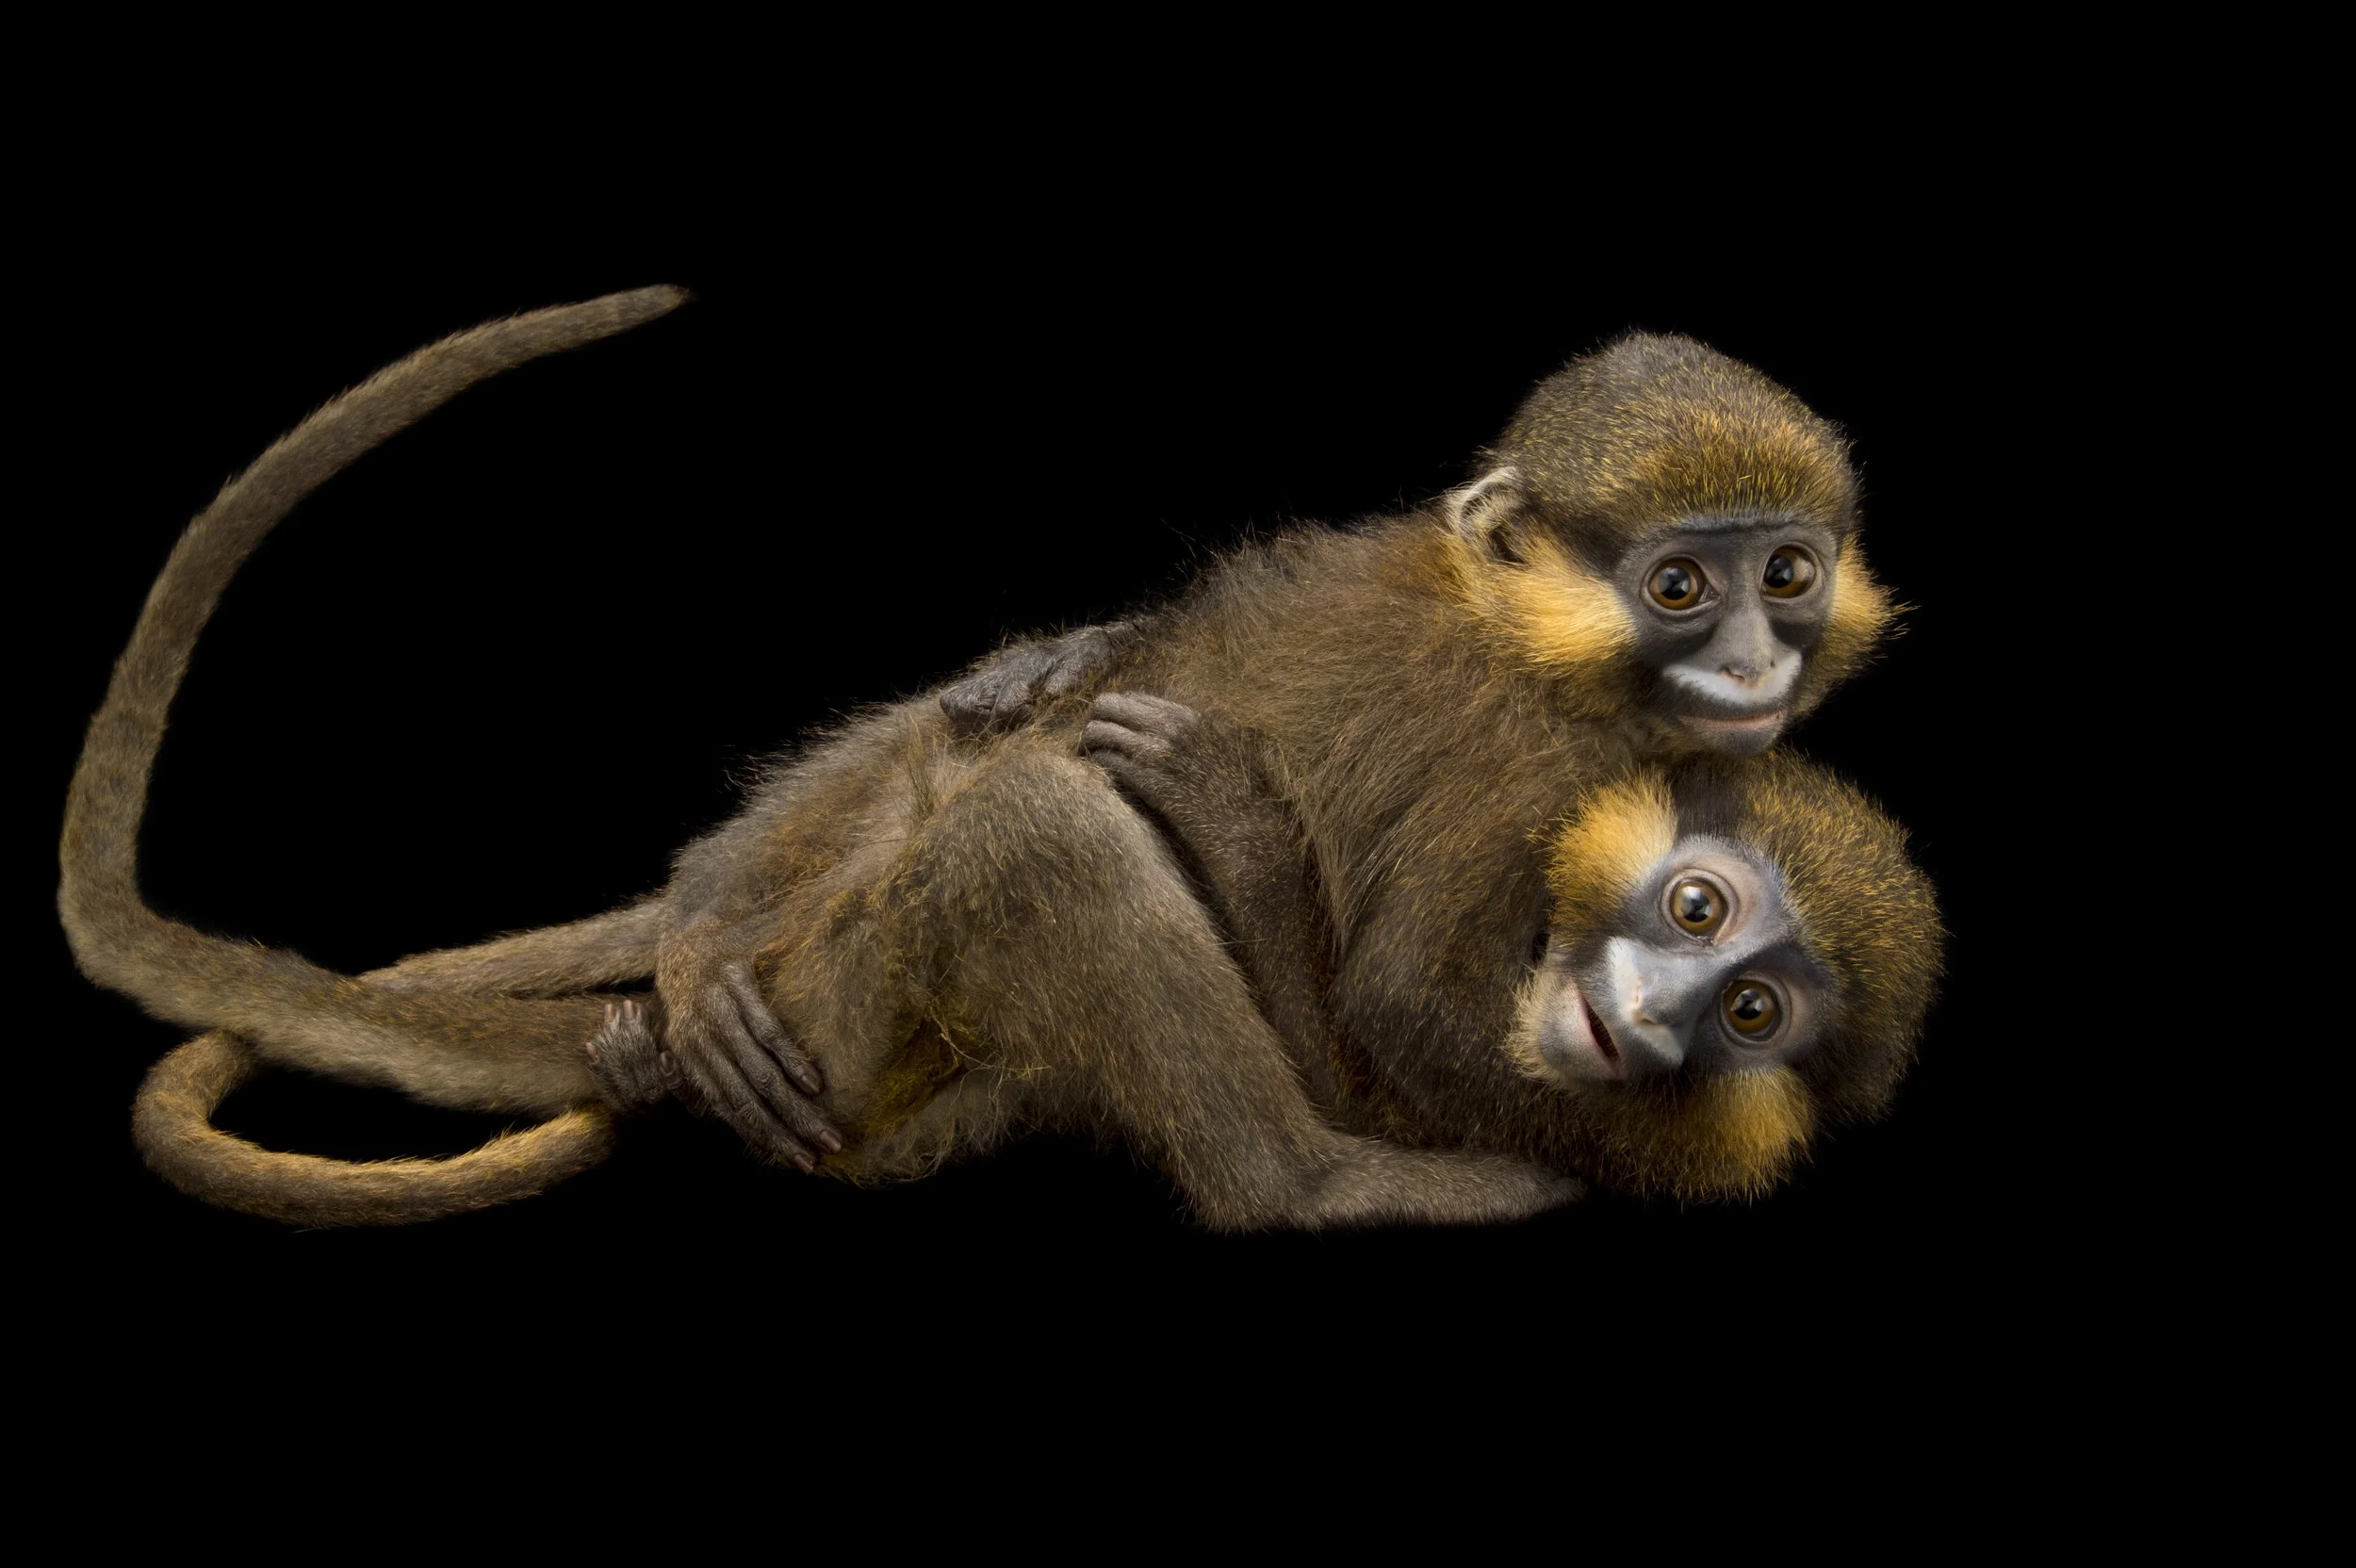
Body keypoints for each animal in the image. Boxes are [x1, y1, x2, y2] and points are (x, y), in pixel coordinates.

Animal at [62, 292, 1914, 1224]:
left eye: (1786, 571)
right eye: (1680, 585)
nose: (1754, 658)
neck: (1535, 642)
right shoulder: (1525, 766)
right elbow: (1397, 1007)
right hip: (847, 1005)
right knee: (1030, 820)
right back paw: (1313, 1184)